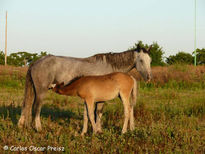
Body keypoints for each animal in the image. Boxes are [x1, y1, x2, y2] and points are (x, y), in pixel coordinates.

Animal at [18, 44, 152, 131]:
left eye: (150, 60)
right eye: (141, 60)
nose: (149, 77)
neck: (109, 66)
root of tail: (35, 62)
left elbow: (92, 113)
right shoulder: (100, 99)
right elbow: (98, 113)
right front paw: (98, 130)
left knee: (27, 106)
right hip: (41, 91)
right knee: (36, 108)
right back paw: (39, 128)